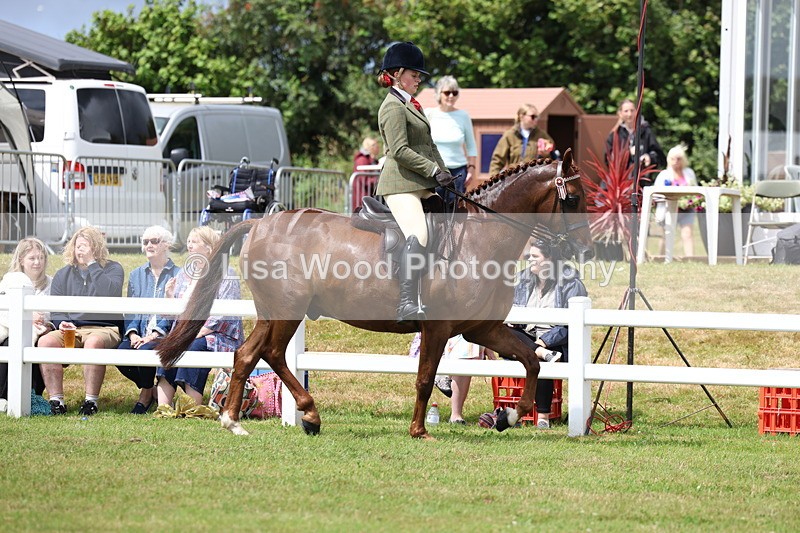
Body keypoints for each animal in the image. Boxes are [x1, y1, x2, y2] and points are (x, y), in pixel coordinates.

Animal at [158, 149, 593, 439]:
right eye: (573, 198)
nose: (588, 250)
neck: (479, 239)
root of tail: (262, 224)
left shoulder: (481, 329)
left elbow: (531, 361)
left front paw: (509, 417)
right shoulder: (438, 328)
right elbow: (425, 377)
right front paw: (419, 430)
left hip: (273, 311)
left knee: (249, 354)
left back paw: (238, 420)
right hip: (286, 310)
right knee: (270, 353)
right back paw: (301, 416)